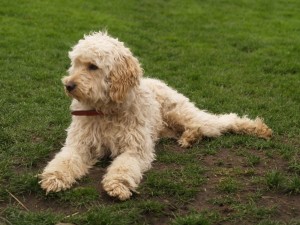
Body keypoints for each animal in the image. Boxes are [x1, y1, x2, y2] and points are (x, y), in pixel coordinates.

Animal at [39, 31, 272, 200]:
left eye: (93, 66)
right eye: (76, 63)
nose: (68, 85)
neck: (105, 112)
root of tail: (158, 81)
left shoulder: (135, 149)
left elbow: (124, 167)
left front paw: (118, 184)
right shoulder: (79, 145)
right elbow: (65, 160)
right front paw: (55, 177)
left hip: (181, 112)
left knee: (220, 122)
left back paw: (255, 128)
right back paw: (189, 138)